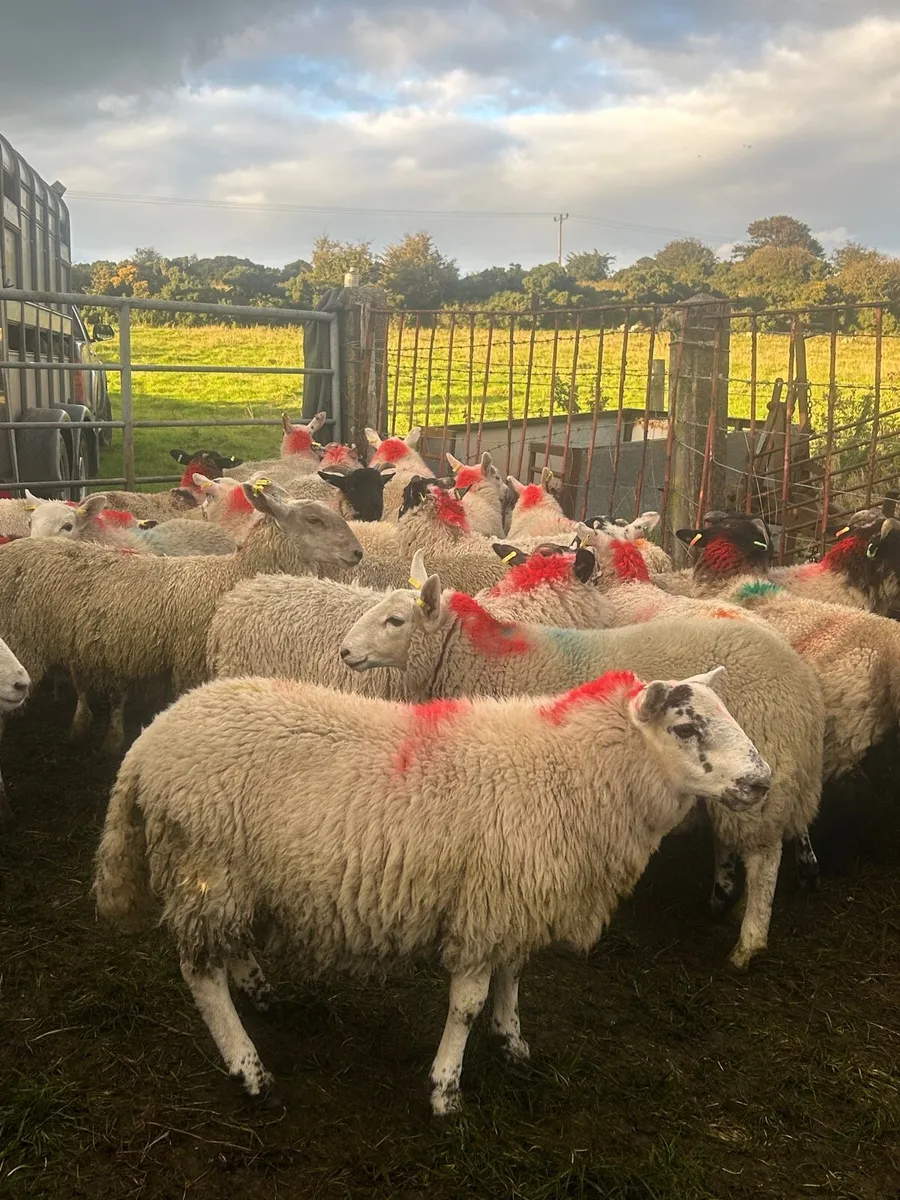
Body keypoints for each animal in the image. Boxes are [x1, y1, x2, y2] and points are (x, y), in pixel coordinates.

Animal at [94, 666, 769, 1111]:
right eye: (686, 727)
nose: (762, 782)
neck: (570, 769)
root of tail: (149, 740)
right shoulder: (487, 903)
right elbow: (466, 1003)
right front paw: (446, 1086)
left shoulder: (515, 901)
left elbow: (512, 974)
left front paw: (511, 1039)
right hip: (205, 864)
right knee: (200, 972)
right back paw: (247, 1067)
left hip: (231, 877)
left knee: (229, 947)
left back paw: (260, 992)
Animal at [339, 567, 824, 970]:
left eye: (395, 620)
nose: (344, 651)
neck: (480, 656)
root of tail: (803, 682)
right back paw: (724, 900)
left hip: (763, 762)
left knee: (764, 857)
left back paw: (748, 941)